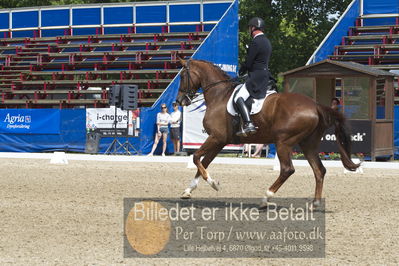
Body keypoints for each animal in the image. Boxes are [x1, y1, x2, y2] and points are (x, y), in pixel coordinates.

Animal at [177, 58, 360, 208]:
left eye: (182, 76)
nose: (179, 100)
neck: (219, 95)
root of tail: (316, 106)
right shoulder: (220, 141)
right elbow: (204, 162)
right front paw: (188, 190)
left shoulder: (216, 137)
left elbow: (196, 158)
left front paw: (214, 183)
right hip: (308, 144)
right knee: (319, 170)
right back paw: (314, 204)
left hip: (283, 143)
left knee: (287, 170)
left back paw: (266, 198)